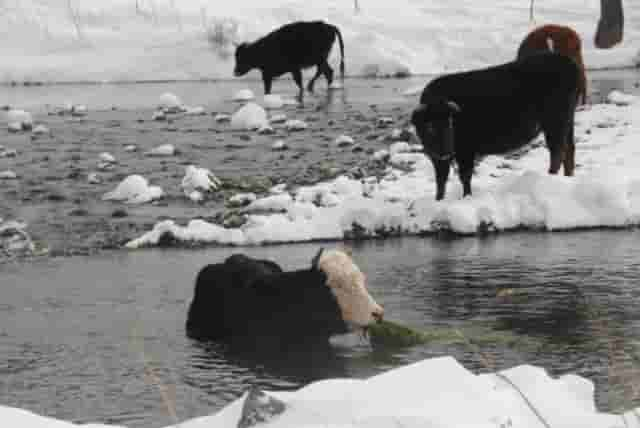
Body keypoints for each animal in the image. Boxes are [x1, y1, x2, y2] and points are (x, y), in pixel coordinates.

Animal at [410, 51, 580, 201]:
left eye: (450, 122)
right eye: (429, 126)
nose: (445, 151)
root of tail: (570, 64)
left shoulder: (465, 151)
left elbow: (465, 176)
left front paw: (466, 197)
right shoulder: (437, 157)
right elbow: (441, 180)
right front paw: (438, 200)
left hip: (555, 122)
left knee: (558, 151)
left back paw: (550, 176)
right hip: (567, 121)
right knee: (569, 150)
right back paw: (567, 178)